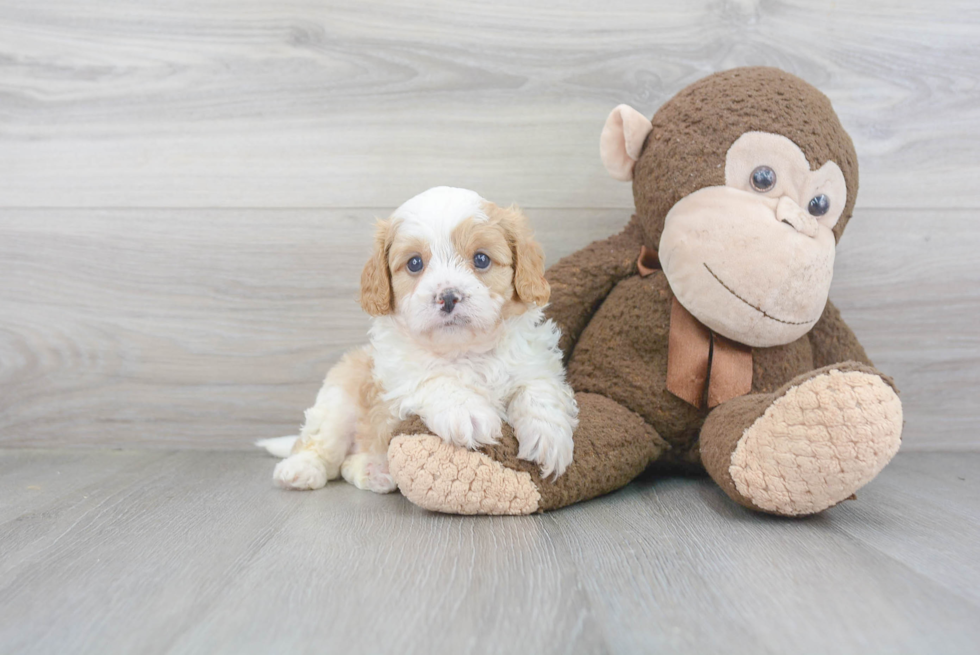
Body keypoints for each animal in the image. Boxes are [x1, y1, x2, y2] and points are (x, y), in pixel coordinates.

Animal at [260, 184, 580, 492]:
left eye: (481, 259)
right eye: (415, 263)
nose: (448, 297)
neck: (463, 351)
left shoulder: (534, 361)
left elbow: (537, 387)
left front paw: (548, 436)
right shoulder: (398, 376)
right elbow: (434, 379)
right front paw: (468, 412)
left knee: (350, 464)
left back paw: (375, 473)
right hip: (338, 400)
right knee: (321, 447)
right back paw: (301, 469)